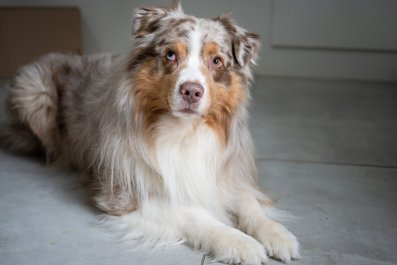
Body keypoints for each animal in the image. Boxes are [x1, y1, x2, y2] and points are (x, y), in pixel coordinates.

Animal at [3, 1, 298, 262]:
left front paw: (278, 235)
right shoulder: (125, 196)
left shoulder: (228, 173)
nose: (191, 91)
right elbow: (193, 215)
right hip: (34, 89)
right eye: (170, 55)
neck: (184, 132)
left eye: (216, 61)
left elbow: (249, 204)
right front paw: (239, 243)